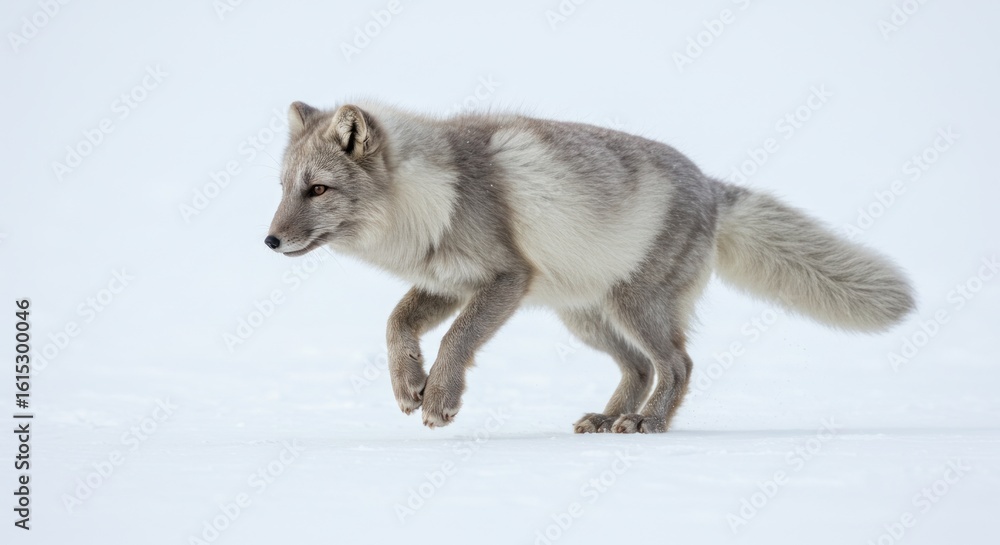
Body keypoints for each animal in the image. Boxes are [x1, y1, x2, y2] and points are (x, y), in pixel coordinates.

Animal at [264, 100, 915, 434]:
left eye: (318, 189)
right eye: (285, 188)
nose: (268, 241)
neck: (433, 197)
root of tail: (710, 186)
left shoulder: (505, 280)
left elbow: (455, 340)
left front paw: (439, 400)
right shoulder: (448, 282)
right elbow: (397, 324)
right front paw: (408, 387)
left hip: (634, 307)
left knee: (677, 365)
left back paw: (647, 424)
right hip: (585, 318)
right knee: (640, 368)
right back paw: (608, 419)